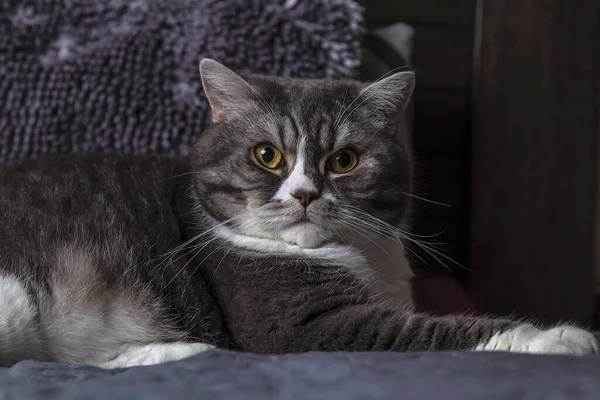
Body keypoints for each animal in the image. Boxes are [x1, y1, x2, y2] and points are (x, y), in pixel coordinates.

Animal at [0, 59, 596, 368]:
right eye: (268, 155)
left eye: (344, 161)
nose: (305, 193)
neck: (357, 257)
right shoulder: (299, 325)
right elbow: (430, 331)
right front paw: (561, 338)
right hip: (16, 301)